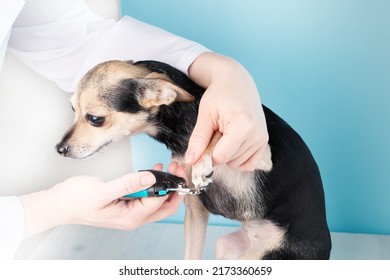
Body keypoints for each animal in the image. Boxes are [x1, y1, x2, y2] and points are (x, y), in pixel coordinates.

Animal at [56, 60, 330, 260]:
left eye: (95, 119)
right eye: (73, 111)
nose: (59, 148)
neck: (180, 134)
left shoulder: (260, 154)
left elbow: (216, 133)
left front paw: (202, 162)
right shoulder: (195, 211)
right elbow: (191, 256)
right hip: (227, 250)